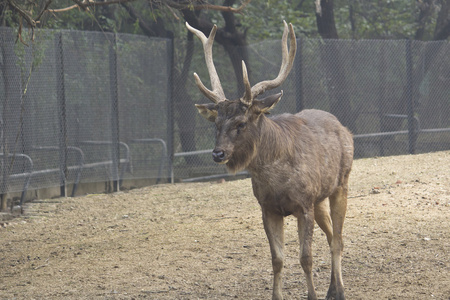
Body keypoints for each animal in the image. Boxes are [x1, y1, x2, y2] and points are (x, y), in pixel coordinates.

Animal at [186, 20, 356, 300]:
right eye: (217, 124)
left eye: (241, 123)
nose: (218, 153)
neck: (275, 181)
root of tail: (345, 129)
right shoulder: (268, 208)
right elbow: (277, 259)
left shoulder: (303, 205)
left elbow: (305, 258)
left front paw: (312, 295)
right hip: (319, 198)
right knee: (332, 235)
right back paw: (332, 288)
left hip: (341, 184)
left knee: (339, 239)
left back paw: (339, 290)